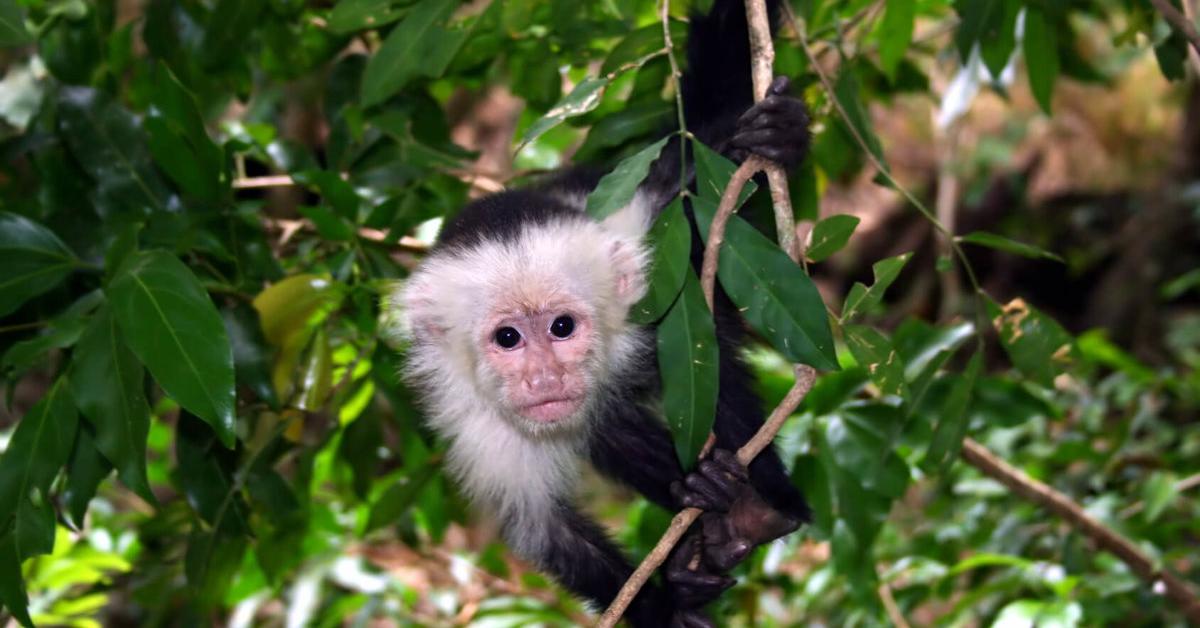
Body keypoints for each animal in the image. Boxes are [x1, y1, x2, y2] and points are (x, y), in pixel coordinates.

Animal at [398, 1, 811, 624]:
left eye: (562, 327)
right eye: (508, 338)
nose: (545, 377)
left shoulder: (644, 251)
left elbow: (689, 179)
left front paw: (776, 134)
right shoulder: (480, 425)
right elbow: (546, 532)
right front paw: (665, 608)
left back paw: (752, 510)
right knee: (606, 424)